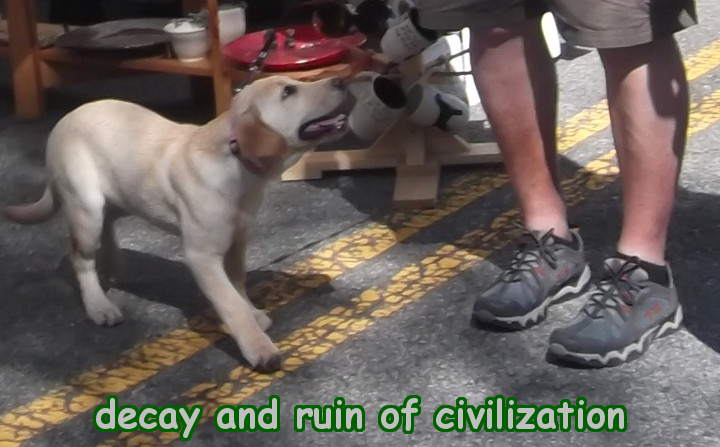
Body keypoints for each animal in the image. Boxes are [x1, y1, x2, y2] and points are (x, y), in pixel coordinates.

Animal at [4, 75, 353, 372]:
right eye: (288, 92)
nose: (342, 80)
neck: (234, 160)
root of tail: (64, 121)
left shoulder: (237, 240)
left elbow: (238, 284)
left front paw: (254, 314)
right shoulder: (202, 256)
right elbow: (231, 303)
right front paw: (258, 346)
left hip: (123, 195)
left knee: (110, 223)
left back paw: (115, 267)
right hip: (86, 206)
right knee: (81, 257)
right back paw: (98, 305)